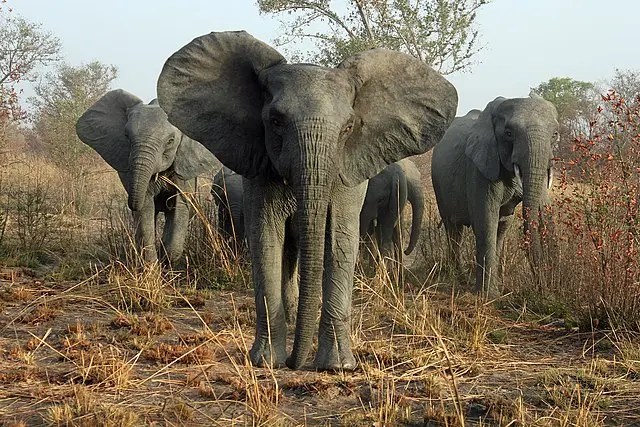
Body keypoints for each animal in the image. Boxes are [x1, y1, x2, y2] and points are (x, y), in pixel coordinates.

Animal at [76, 89, 219, 267]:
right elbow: (146, 212)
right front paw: (152, 268)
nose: (130, 204)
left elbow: (180, 207)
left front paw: (166, 261)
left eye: (171, 141)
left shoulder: (183, 166)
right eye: (126, 136)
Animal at [156, 31, 457, 370]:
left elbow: (340, 239)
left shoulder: (348, 172)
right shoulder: (258, 166)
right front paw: (266, 362)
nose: (294, 363)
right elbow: (266, 239)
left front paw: (337, 366)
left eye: (348, 128)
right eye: (275, 122)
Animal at [431, 94, 558, 298]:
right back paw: (459, 277)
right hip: (439, 185)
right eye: (508, 133)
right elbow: (486, 219)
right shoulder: (479, 167)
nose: (545, 292)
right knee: (453, 228)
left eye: (555, 134)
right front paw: (488, 296)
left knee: (501, 226)